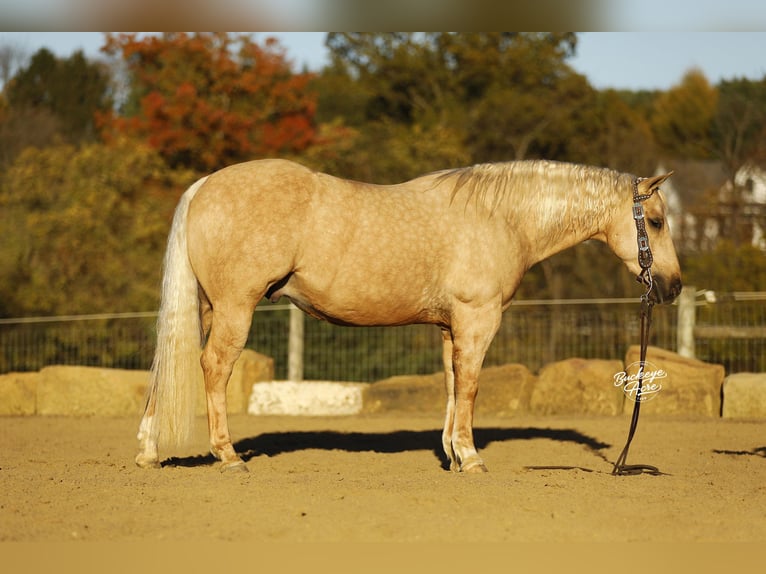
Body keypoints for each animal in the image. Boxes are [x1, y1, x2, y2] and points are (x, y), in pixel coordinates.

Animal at [135, 158, 682, 473]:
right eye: (655, 221)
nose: (672, 286)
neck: (501, 218)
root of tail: (204, 186)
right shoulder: (478, 321)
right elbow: (471, 386)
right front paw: (471, 458)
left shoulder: (450, 327)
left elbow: (452, 385)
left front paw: (453, 454)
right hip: (235, 307)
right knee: (214, 368)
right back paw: (227, 457)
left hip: (206, 308)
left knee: (169, 368)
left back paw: (147, 452)